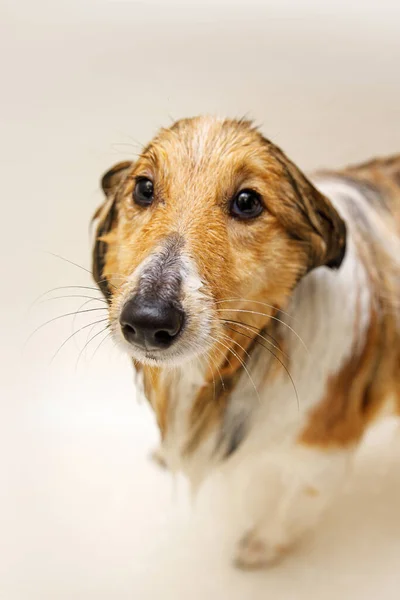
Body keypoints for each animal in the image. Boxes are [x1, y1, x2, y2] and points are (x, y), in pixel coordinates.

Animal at [91, 116, 400, 568]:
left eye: (247, 201)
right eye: (144, 188)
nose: (148, 321)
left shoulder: (326, 450)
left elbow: (298, 503)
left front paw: (261, 546)